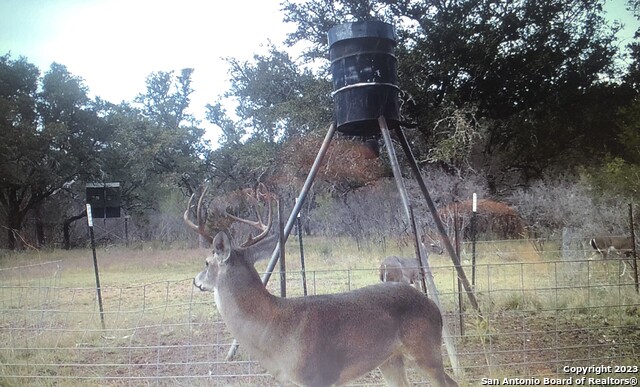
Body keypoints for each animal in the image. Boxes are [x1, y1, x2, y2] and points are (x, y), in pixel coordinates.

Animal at [188, 186, 458, 386]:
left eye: (206, 262)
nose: (195, 280)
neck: (272, 330)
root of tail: (434, 308)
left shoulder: (318, 376)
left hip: (426, 350)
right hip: (390, 359)